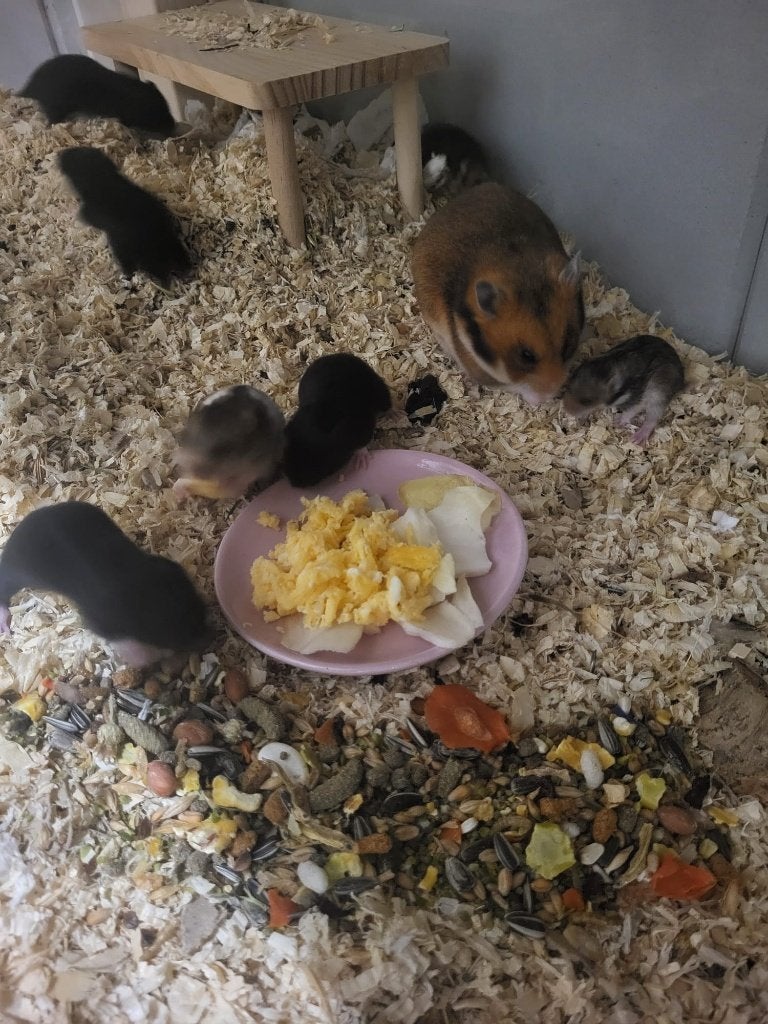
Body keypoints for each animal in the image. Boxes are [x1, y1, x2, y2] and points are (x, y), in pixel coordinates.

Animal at [0, 501, 209, 667]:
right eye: (170, 634)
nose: (206, 633)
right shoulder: (101, 620)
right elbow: (135, 651)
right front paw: (160, 654)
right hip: (17, 570)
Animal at [17, 54, 175, 137]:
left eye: (166, 105)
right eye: (156, 116)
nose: (173, 127)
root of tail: (29, 87)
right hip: (56, 107)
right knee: (51, 121)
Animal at [57, 147, 191, 286]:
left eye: (75, 155)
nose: (60, 154)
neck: (102, 179)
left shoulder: (90, 212)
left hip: (127, 254)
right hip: (175, 246)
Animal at [282, 354, 392, 488]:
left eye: (323, 465)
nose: (295, 485)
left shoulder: (363, 425)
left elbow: (362, 444)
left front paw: (362, 462)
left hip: (379, 390)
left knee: (387, 404)